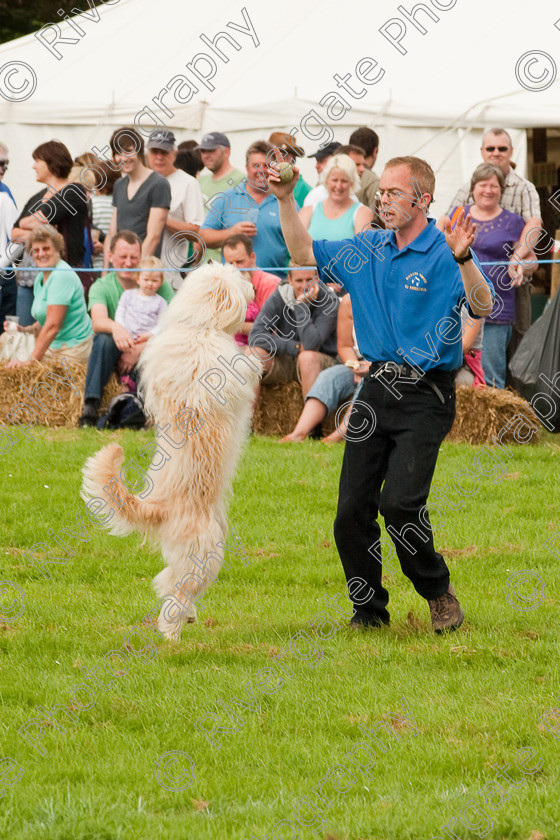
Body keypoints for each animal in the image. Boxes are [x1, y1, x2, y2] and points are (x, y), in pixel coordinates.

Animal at [81, 260, 260, 636]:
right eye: (237, 276)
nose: (253, 282)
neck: (199, 327)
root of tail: (157, 507)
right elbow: (244, 368)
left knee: (172, 582)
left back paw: (186, 615)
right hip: (206, 551)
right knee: (175, 589)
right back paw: (173, 629)